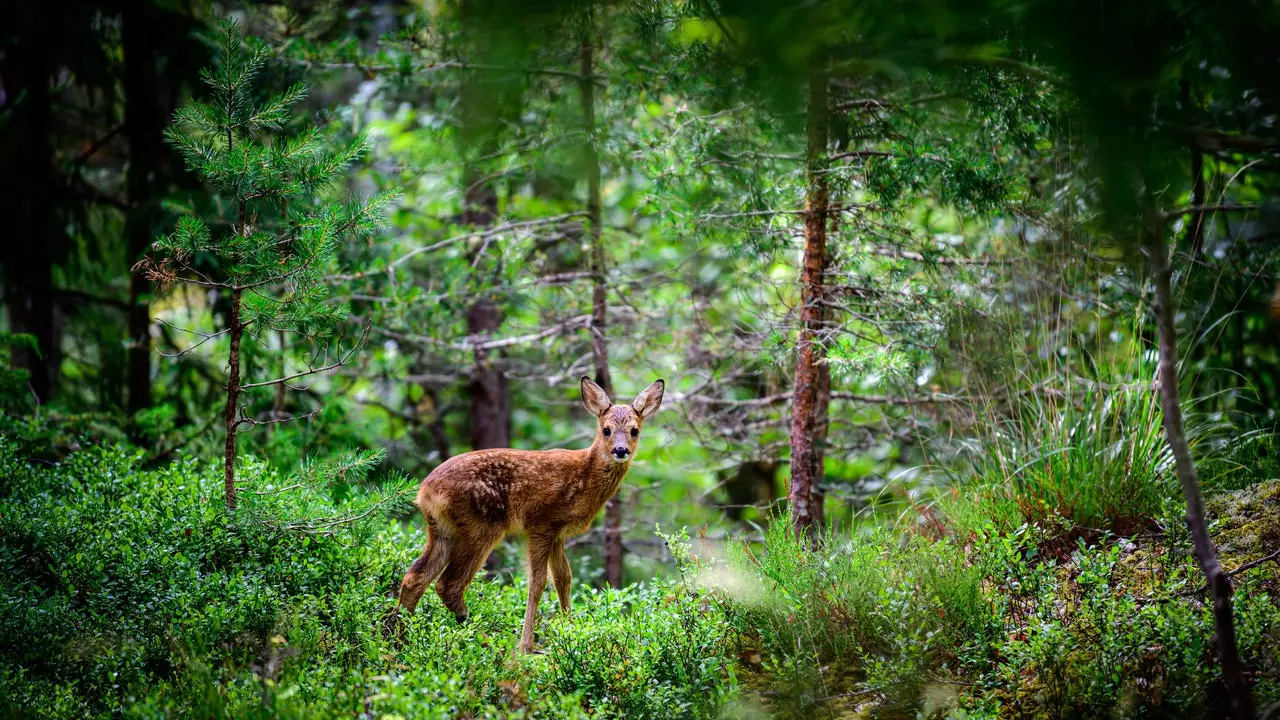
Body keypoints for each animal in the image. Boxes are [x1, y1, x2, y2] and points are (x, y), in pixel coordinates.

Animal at [394, 376, 665, 650]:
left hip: (442, 530)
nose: (620, 450)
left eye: (634, 430)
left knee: (415, 577)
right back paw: (487, 640)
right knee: (448, 584)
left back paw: (398, 642)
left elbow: (564, 578)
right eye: (606, 429)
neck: (585, 477)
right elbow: (537, 583)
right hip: (481, 525)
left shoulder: (558, 532)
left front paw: (570, 632)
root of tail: (425, 491)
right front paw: (527, 646)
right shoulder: (541, 524)